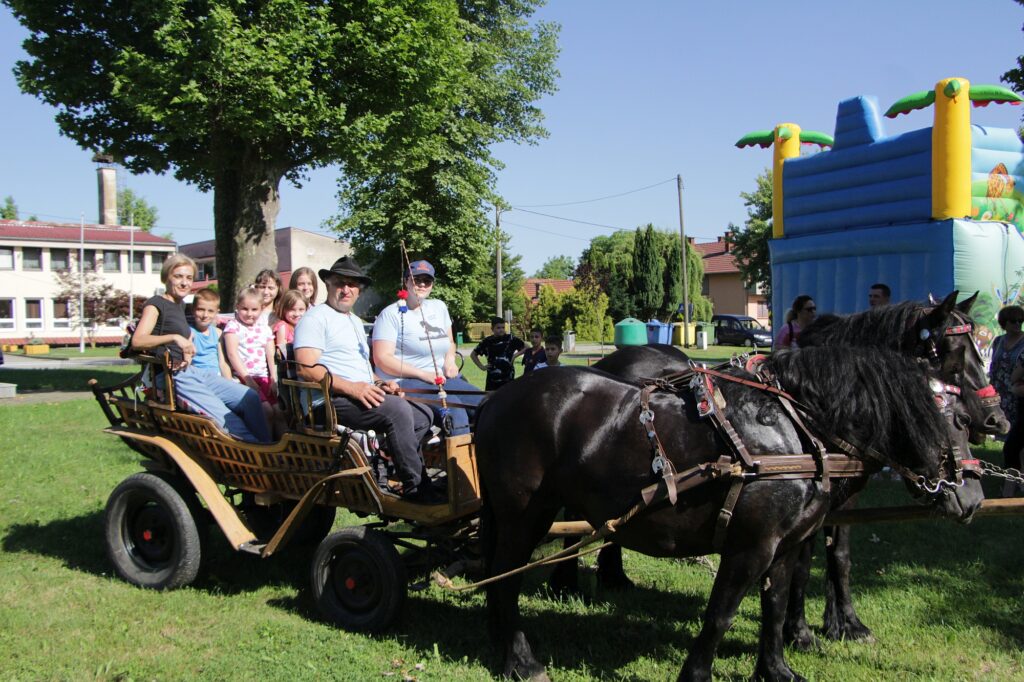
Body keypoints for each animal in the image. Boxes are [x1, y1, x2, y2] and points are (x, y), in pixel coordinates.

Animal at [479, 348, 983, 675]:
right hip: (524, 516)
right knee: (506, 580)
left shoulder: (785, 545)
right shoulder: (750, 546)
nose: (973, 498)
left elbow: (775, 606)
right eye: (959, 419)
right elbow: (720, 614)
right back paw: (520, 660)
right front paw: (696, 674)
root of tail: (494, 399)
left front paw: (776, 670)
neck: (796, 430)